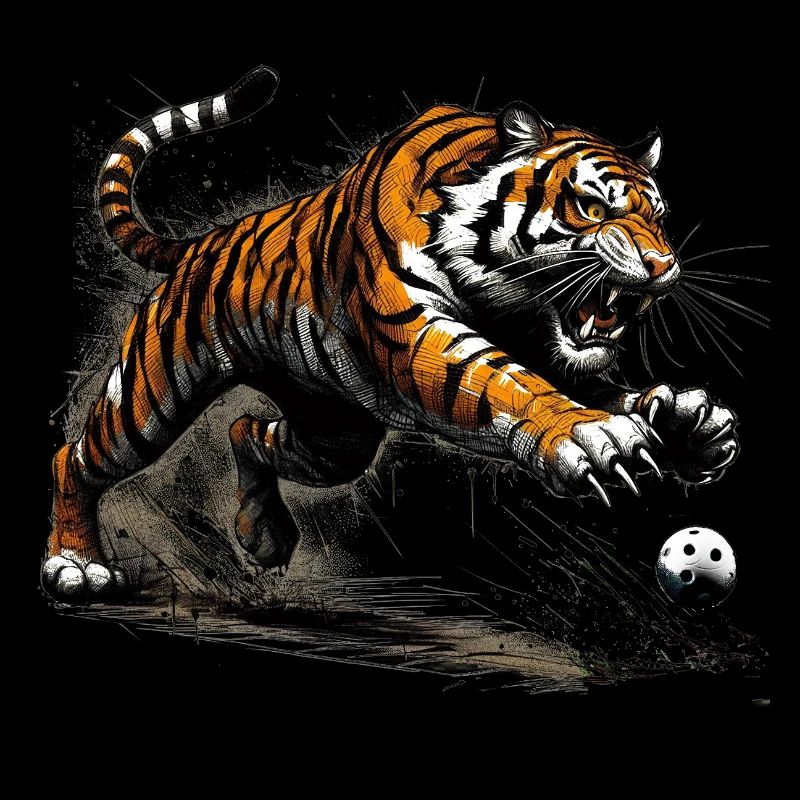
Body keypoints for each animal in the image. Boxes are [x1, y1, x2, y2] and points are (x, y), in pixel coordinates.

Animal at [45, 66, 739, 602]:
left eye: (660, 218)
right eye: (593, 207)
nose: (663, 265)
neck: (507, 297)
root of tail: (200, 242)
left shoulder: (549, 346)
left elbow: (596, 383)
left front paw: (687, 421)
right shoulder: (418, 334)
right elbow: (508, 384)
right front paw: (591, 437)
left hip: (333, 434)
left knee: (247, 429)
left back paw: (262, 535)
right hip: (150, 395)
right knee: (75, 457)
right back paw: (76, 566)